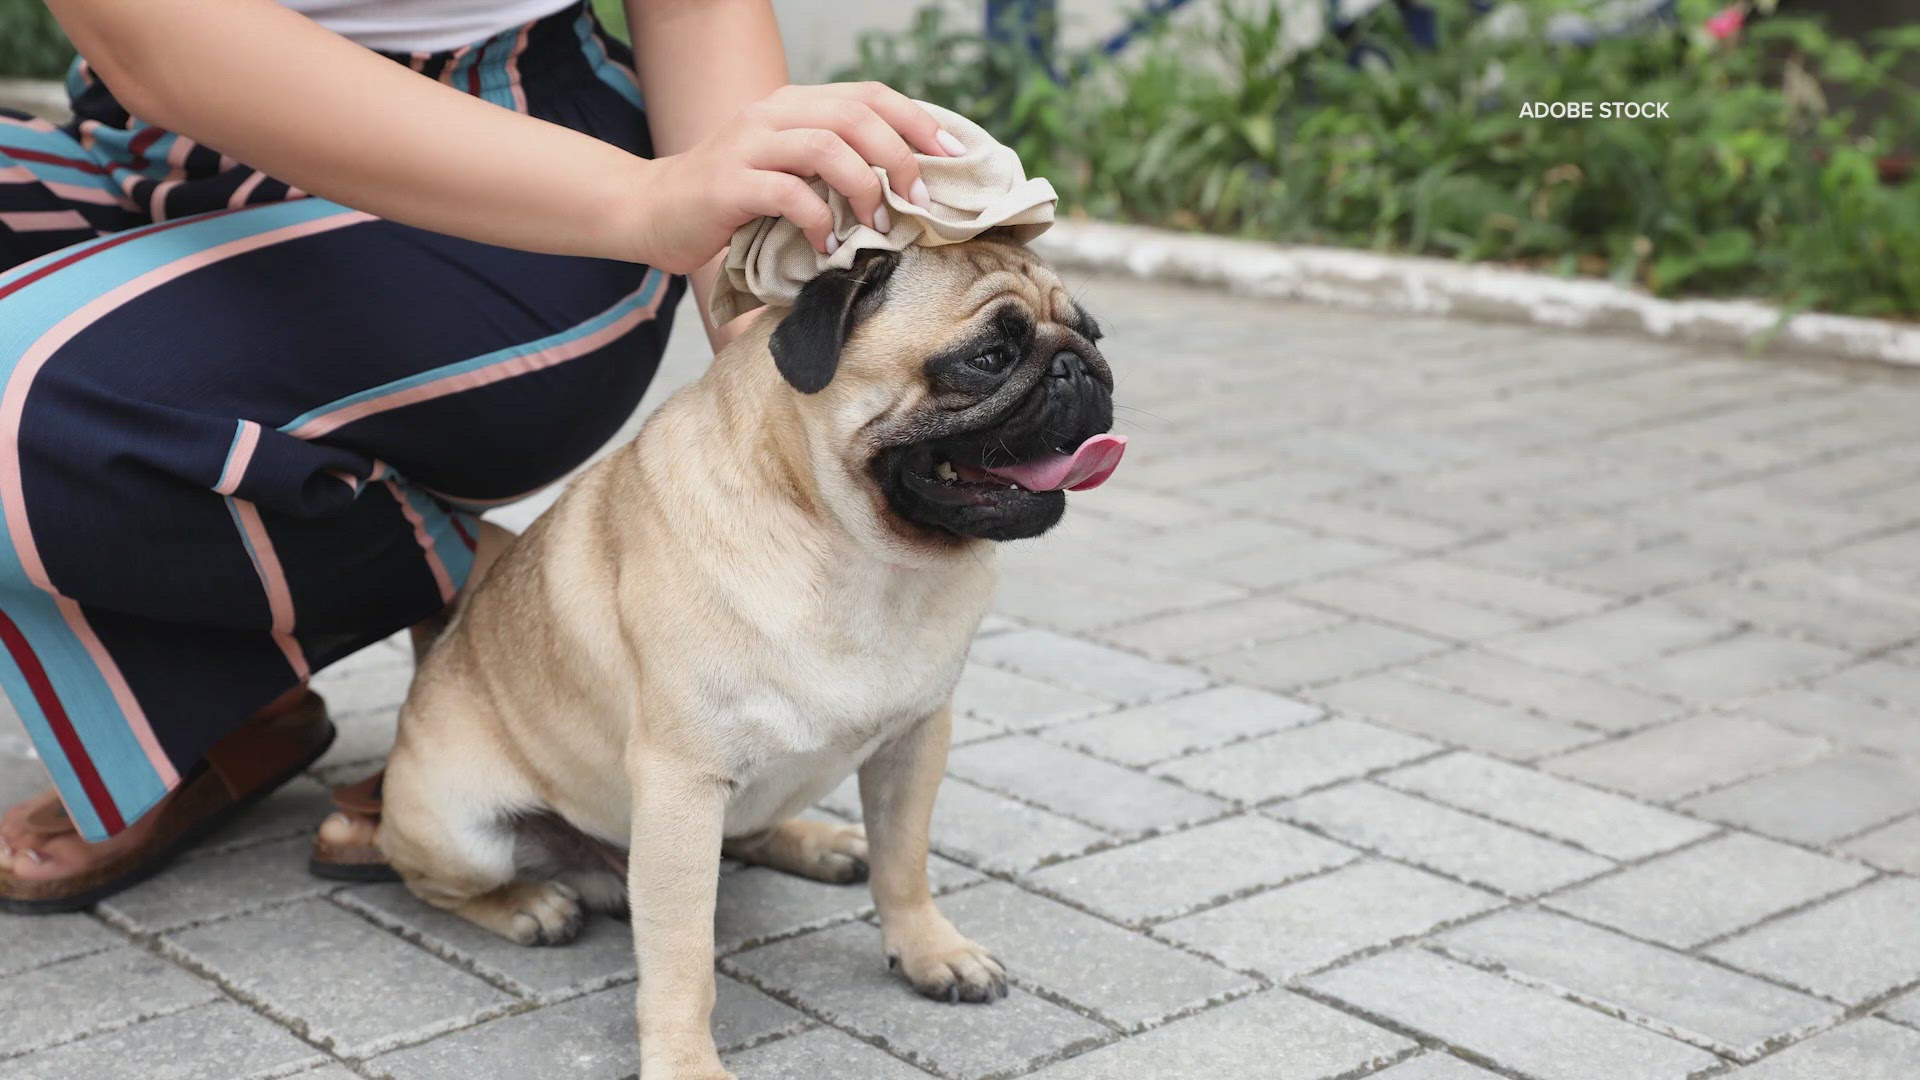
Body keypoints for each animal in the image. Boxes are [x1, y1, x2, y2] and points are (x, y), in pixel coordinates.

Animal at [374, 231, 1121, 1068]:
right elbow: (681, 957)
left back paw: (820, 842)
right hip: (458, 830)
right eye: (988, 357)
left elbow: (905, 863)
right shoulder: (682, 786)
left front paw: (931, 950)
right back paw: (530, 904)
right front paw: (684, 1062)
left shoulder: (915, 744)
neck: (861, 560)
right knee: (437, 885)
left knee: (762, 832)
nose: (1081, 368)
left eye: (1093, 335)